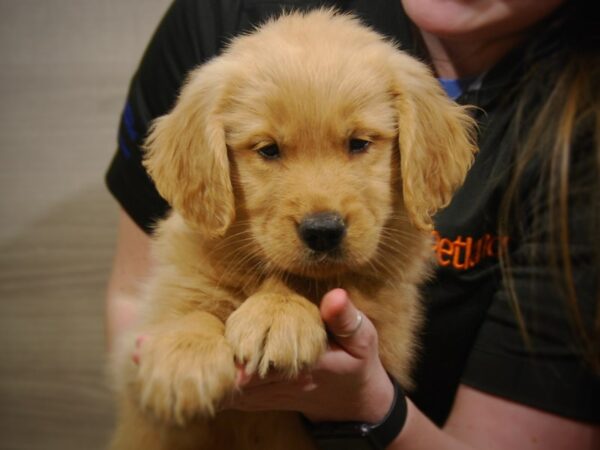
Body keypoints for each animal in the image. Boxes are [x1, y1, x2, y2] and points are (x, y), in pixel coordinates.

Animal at [110, 7, 476, 450]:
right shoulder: (140, 342)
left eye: (359, 143)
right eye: (268, 150)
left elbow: (319, 279)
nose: (323, 231)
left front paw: (278, 310)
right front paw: (183, 355)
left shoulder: (390, 327)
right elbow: (187, 305)